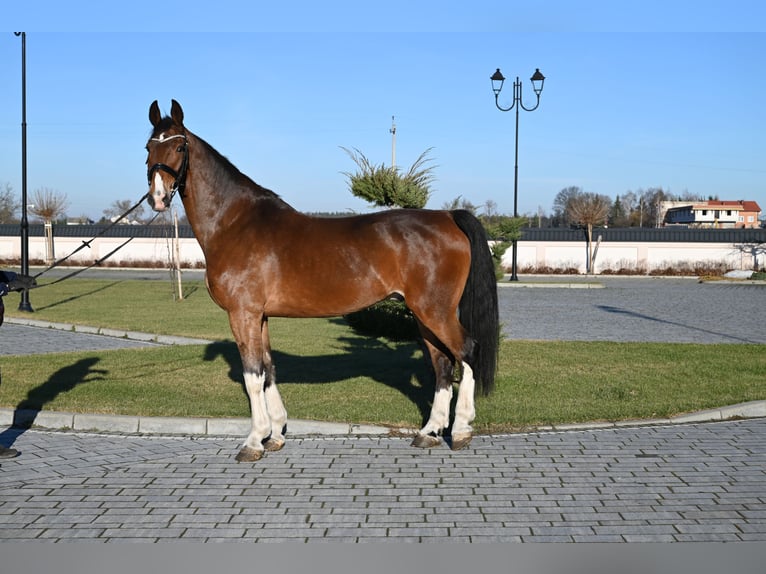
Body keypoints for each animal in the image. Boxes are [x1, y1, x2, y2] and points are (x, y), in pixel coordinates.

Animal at [145, 100, 498, 462]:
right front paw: (275, 435)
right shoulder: (260, 316)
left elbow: (252, 375)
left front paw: (253, 441)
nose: (157, 197)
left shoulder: (243, 314)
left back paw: (461, 430)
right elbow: (269, 370)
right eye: (148, 147)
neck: (235, 222)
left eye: (178, 146)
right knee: (442, 364)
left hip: (435, 311)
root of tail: (448, 217)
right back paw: (429, 432)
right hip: (423, 315)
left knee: (466, 352)